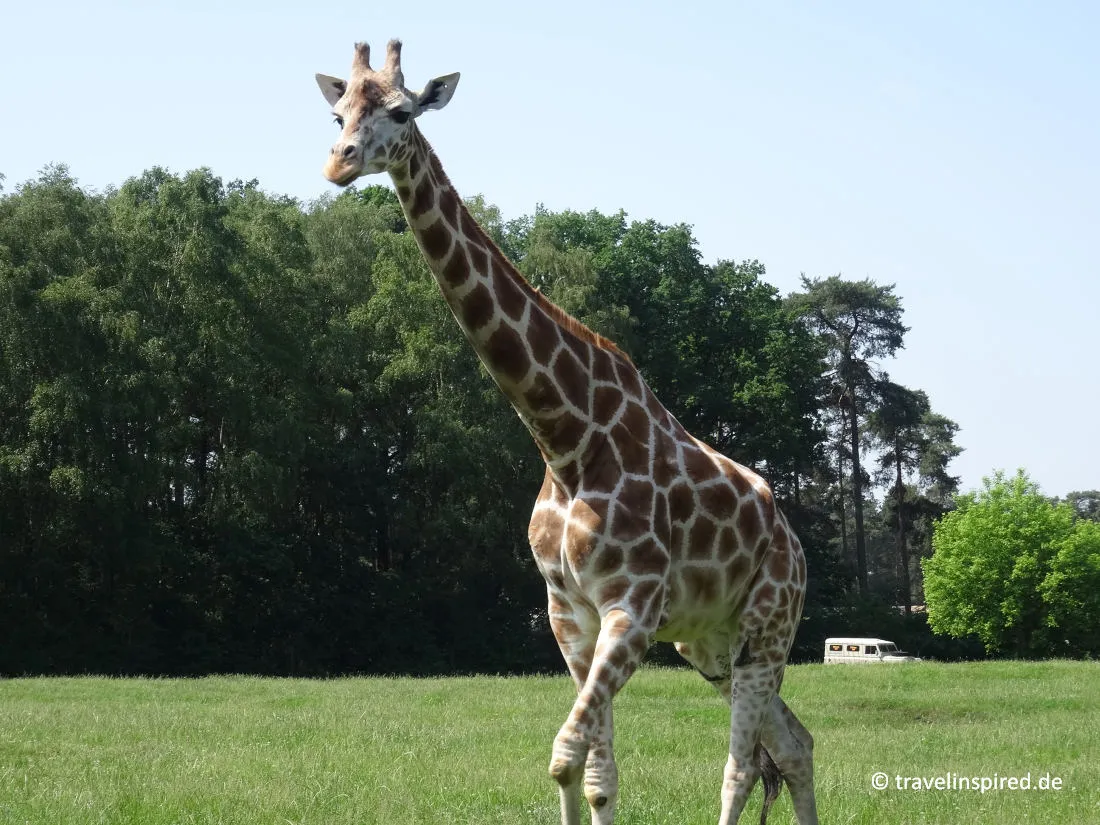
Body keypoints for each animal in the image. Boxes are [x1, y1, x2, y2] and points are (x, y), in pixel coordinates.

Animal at [315, 39, 819, 825]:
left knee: (741, 766)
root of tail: (794, 545)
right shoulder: (570, 614)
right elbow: (587, 770)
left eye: (399, 111)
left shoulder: (631, 609)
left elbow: (565, 753)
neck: (565, 436)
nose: (337, 164)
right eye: (337, 115)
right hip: (713, 646)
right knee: (795, 745)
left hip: (768, 626)